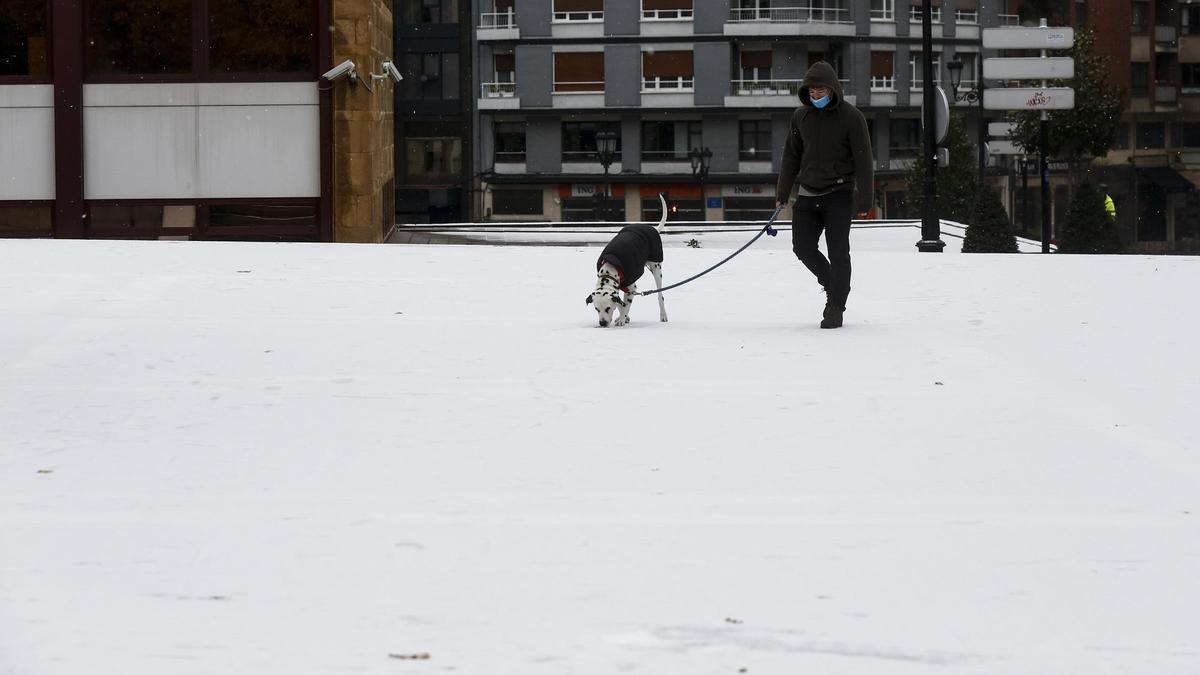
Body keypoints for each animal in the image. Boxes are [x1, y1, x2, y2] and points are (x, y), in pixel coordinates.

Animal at [585, 190, 672, 326]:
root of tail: (652, 228)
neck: (611, 267)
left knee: (660, 295)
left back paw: (663, 315)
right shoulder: (624, 287)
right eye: (596, 309)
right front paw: (623, 317)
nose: (602, 323)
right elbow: (621, 304)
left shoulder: (631, 287)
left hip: (656, 268)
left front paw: (621, 319)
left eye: (608, 308)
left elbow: (625, 305)